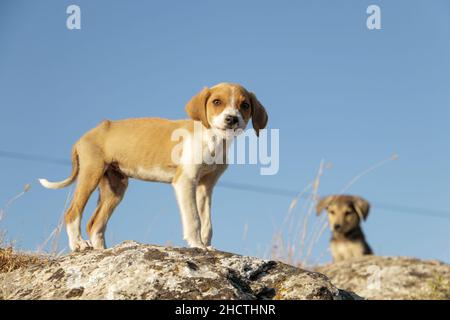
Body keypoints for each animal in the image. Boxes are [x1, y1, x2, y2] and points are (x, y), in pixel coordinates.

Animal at [39, 83, 268, 252]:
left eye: (245, 105)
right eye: (216, 102)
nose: (232, 119)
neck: (211, 138)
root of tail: (85, 136)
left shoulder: (205, 186)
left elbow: (207, 222)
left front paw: (207, 245)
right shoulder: (185, 181)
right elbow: (193, 219)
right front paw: (197, 245)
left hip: (115, 187)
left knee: (95, 224)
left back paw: (102, 251)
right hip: (91, 174)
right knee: (72, 213)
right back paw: (78, 244)